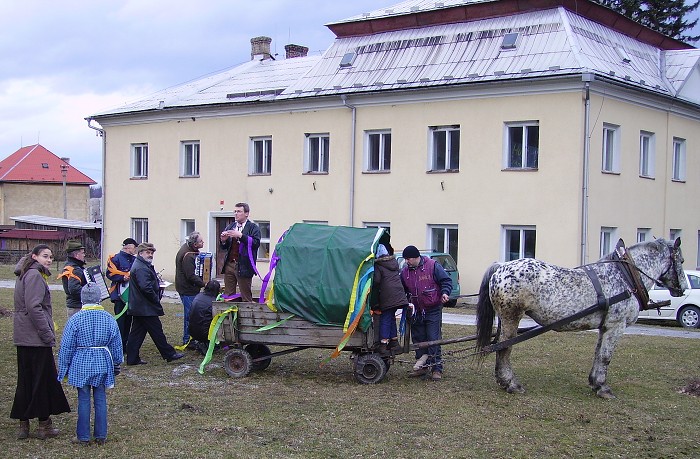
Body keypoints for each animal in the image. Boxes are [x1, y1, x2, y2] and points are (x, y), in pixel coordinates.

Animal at [476, 237, 684, 398]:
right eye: (681, 260)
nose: (680, 290)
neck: (625, 277)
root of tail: (501, 266)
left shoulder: (605, 327)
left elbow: (598, 354)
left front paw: (594, 382)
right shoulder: (616, 326)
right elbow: (606, 357)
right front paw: (603, 388)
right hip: (511, 318)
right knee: (504, 348)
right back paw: (510, 383)